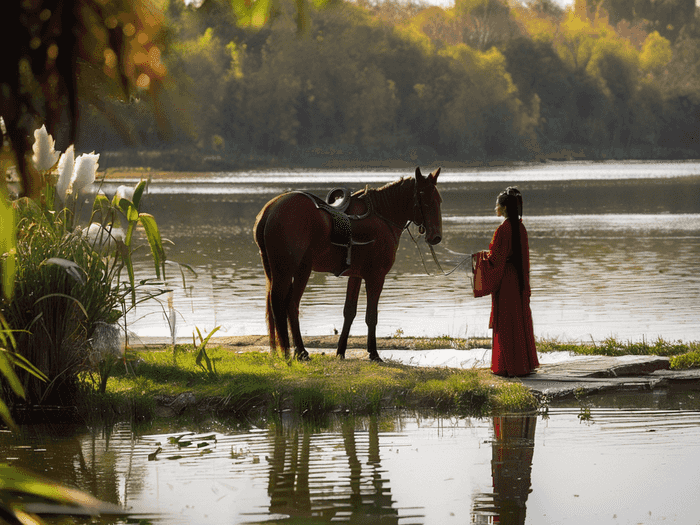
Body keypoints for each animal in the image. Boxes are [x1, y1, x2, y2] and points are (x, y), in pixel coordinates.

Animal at [253, 167, 442, 360]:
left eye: (439, 200)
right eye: (426, 200)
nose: (436, 237)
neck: (381, 217)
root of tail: (269, 211)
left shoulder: (356, 275)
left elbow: (349, 312)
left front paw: (341, 351)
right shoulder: (376, 277)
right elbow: (371, 316)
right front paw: (373, 352)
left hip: (281, 270)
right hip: (294, 271)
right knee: (288, 304)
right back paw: (295, 351)